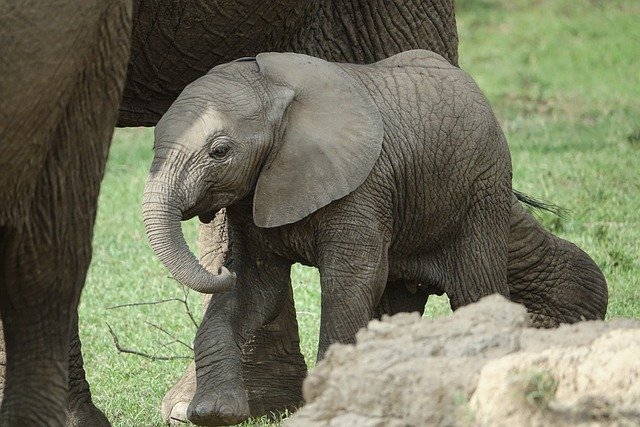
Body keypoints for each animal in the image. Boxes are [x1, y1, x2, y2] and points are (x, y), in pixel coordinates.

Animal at [142, 49, 512, 424]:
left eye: (220, 151)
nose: (219, 268)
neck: (274, 90)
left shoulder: (363, 186)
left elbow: (349, 282)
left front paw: (324, 404)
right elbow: (253, 287)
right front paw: (212, 412)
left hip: (482, 192)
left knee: (476, 288)